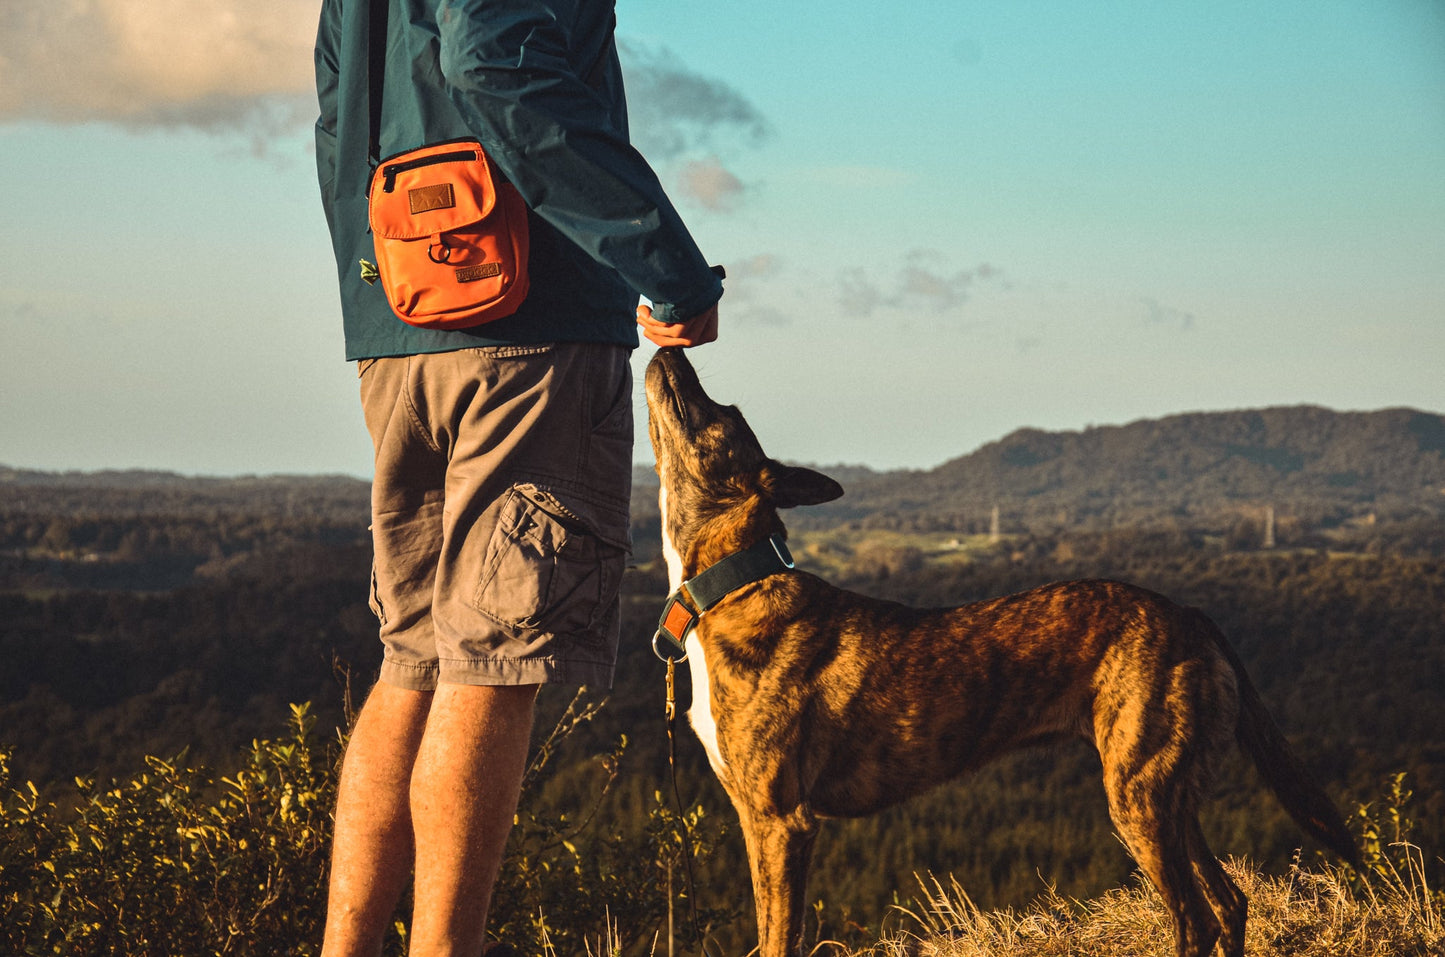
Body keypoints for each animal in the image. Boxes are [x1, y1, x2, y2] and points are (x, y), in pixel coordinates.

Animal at [650, 351, 1358, 957]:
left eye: (721, 413)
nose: (669, 349)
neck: (734, 582)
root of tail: (1190, 615)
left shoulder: (782, 822)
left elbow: (779, 938)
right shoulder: (758, 821)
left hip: (1139, 798)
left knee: (1196, 919)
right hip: (1170, 796)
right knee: (1231, 903)